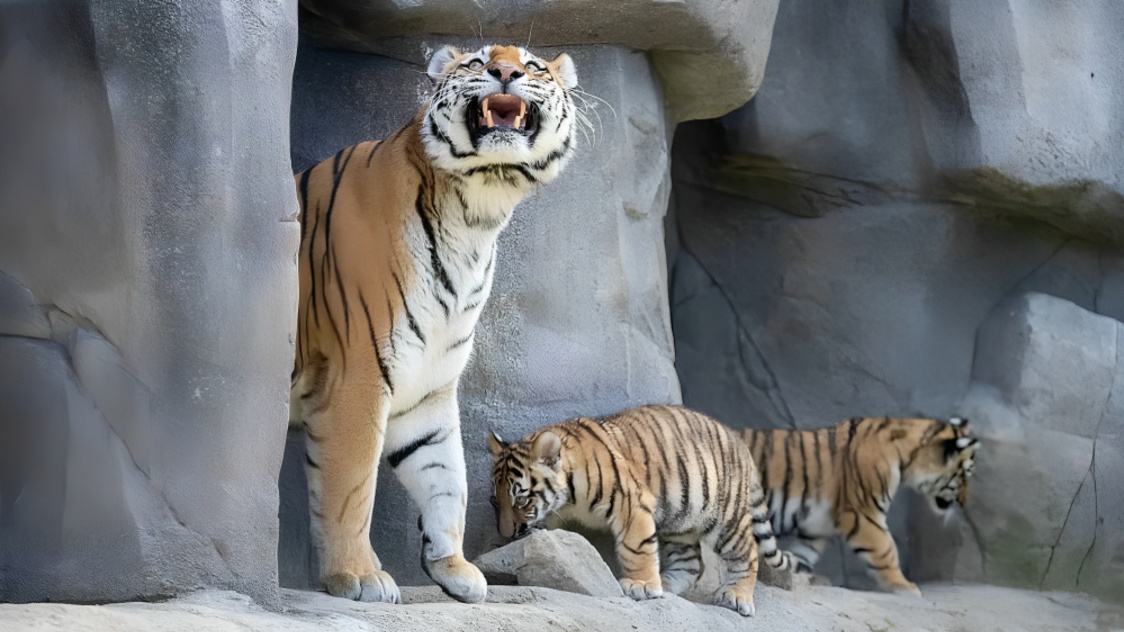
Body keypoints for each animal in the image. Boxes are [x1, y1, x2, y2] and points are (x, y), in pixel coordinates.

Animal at [288, 44, 579, 604]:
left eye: (533, 66)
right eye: (477, 61)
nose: (505, 70)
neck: (475, 215)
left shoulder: (429, 384)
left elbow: (447, 477)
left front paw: (454, 567)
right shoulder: (356, 374)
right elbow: (351, 484)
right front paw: (358, 575)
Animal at [488, 405, 795, 617]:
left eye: (521, 500)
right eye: (495, 502)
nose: (506, 533)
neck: (569, 497)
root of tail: (739, 441)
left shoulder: (632, 502)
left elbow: (636, 548)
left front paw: (641, 586)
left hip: (726, 520)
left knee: (748, 552)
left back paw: (736, 596)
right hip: (680, 522)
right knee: (692, 563)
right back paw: (667, 584)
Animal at [739, 415, 979, 596]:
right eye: (965, 475)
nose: (964, 502)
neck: (906, 458)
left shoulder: (815, 525)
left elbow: (803, 554)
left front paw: (798, 573)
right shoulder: (862, 514)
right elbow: (886, 549)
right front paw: (905, 587)